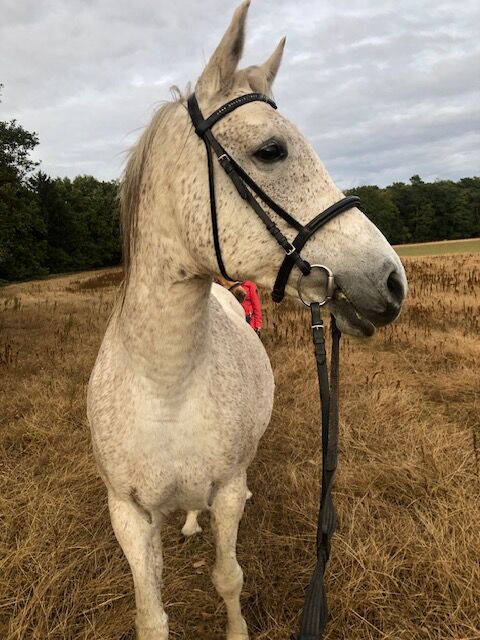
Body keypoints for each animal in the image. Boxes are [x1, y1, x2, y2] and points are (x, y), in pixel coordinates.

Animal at [86, 2, 404, 636]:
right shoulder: (128, 516)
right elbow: (150, 615)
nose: (392, 280)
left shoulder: (227, 492)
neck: (164, 385)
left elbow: (228, 577)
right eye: (271, 150)